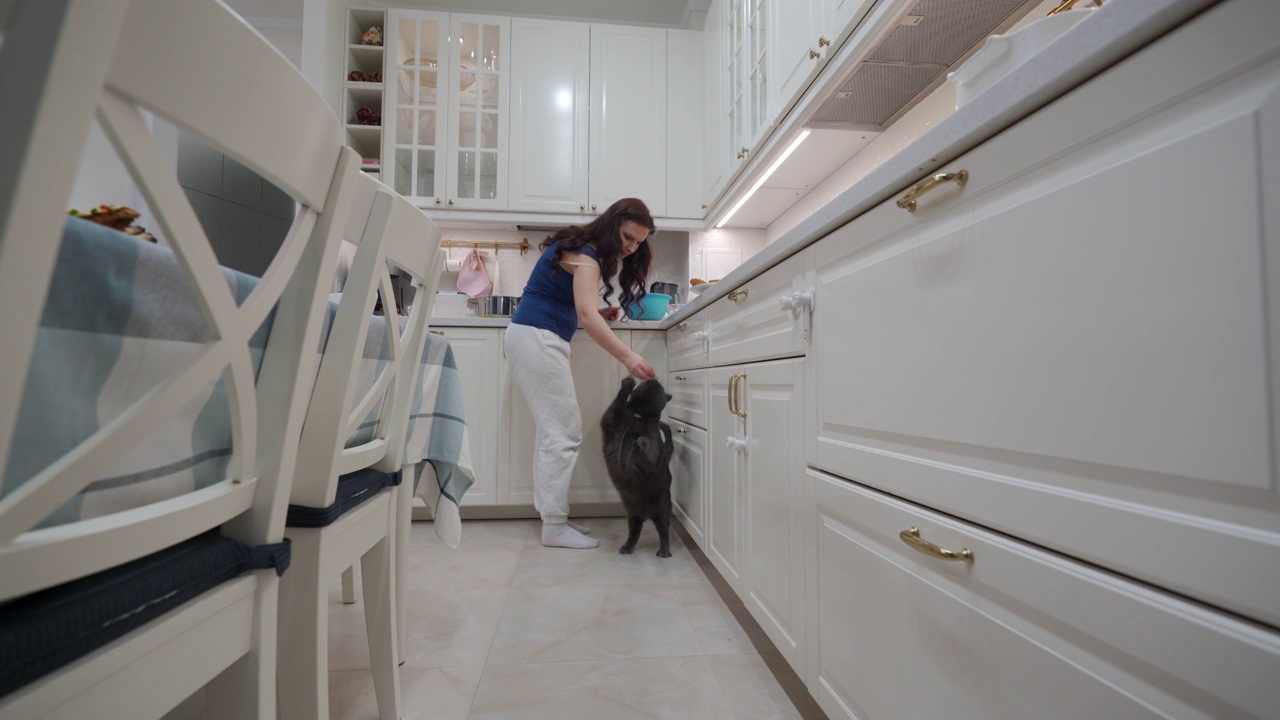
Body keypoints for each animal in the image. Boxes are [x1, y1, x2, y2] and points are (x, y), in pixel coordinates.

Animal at [601, 376, 675, 556]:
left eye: (660, 386)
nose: (653, 378)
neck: (640, 417)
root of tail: (646, 514)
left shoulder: (655, 456)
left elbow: (645, 443)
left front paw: (640, 440)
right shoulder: (609, 420)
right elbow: (617, 404)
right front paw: (628, 382)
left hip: (662, 512)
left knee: (664, 532)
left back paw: (664, 552)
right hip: (632, 516)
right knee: (634, 532)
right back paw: (627, 547)